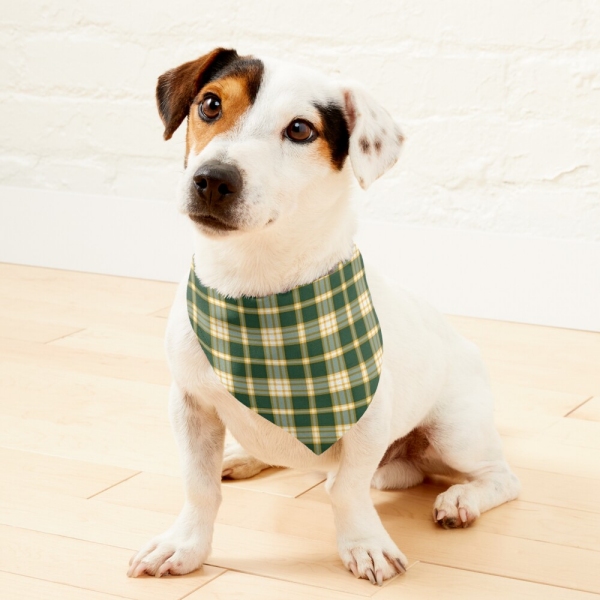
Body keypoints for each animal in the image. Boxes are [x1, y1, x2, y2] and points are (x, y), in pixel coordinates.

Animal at [127, 48, 520, 584]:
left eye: (299, 130)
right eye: (210, 104)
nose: (212, 179)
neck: (258, 291)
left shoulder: (368, 419)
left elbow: (347, 490)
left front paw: (365, 544)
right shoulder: (190, 405)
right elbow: (199, 486)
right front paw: (185, 545)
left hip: (456, 432)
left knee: (500, 477)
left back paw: (461, 499)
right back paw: (244, 456)